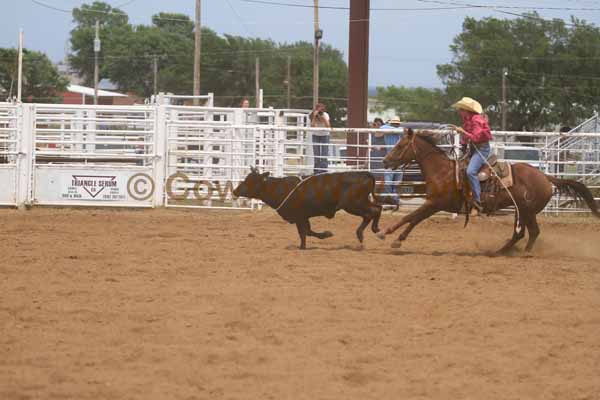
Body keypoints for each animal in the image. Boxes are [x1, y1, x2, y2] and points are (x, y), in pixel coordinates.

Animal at [378, 130, 596, 255]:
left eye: (400, 145)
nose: (385, 161)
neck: (442, 171)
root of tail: (546, 177)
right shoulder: (433, 204)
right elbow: (413, 219)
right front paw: (394, 237)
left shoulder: (434, 203)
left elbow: (411, 217)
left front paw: (388, 234)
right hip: (521, 211)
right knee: (520, 234)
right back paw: (499, 251)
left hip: (528, 211)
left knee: (533, 232)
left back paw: (525, 253)